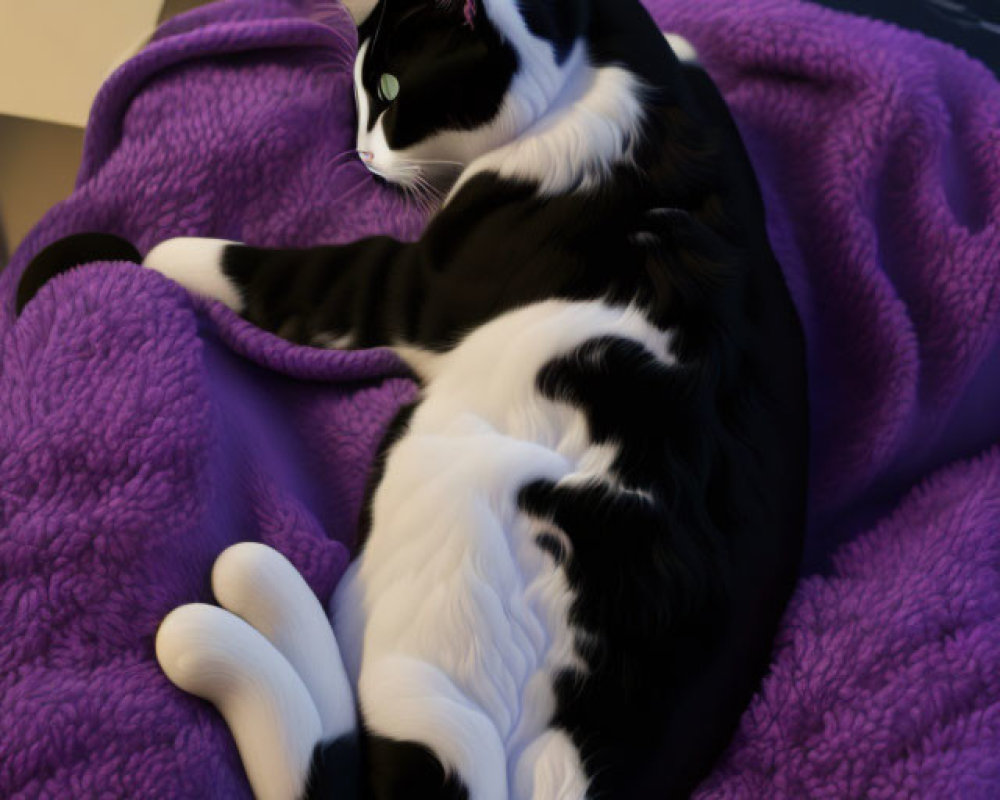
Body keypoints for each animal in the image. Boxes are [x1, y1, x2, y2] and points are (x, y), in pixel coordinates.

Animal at [15, 1, 808, 800]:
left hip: (431, 554)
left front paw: (160, 251)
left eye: (393, 89)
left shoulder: (406, 289)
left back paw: (248, 604)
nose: (364, 154)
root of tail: (577, 770)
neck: (606, 61)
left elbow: (292, 274)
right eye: (361, 90)